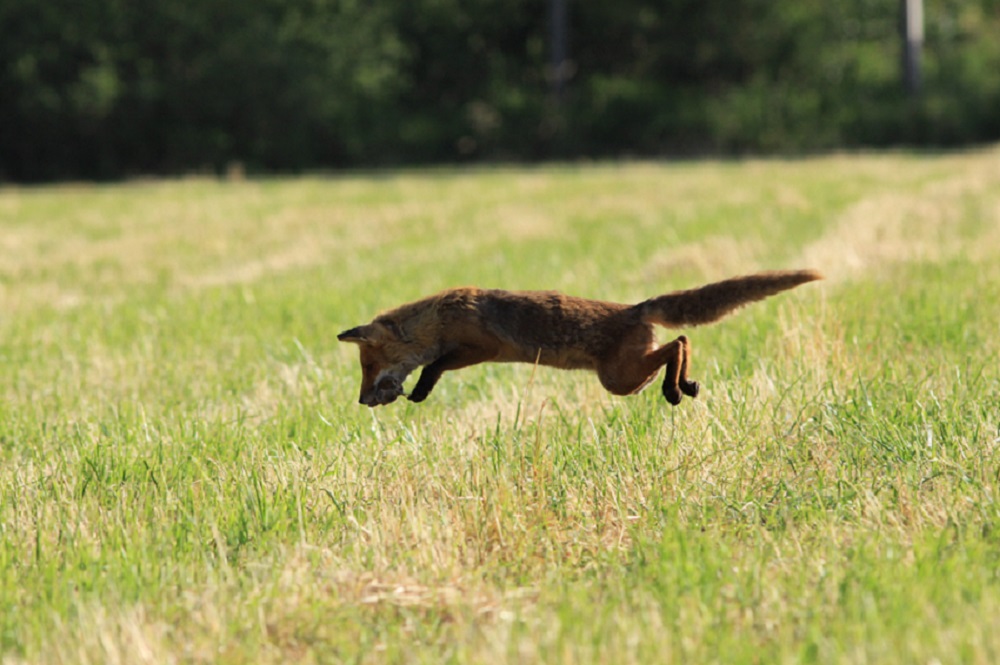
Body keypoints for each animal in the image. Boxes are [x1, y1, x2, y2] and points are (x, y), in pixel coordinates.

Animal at [336, 268, 820, 404]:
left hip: (618, 380)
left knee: (679, 342)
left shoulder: (479, 347)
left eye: (368, 365)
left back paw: (675, 388)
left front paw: (419, 392)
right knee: (680, 342)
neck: (438, 316)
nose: (361, 401)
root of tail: (636, 307)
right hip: (625, 379)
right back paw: (683, 385)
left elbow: (435, 366)